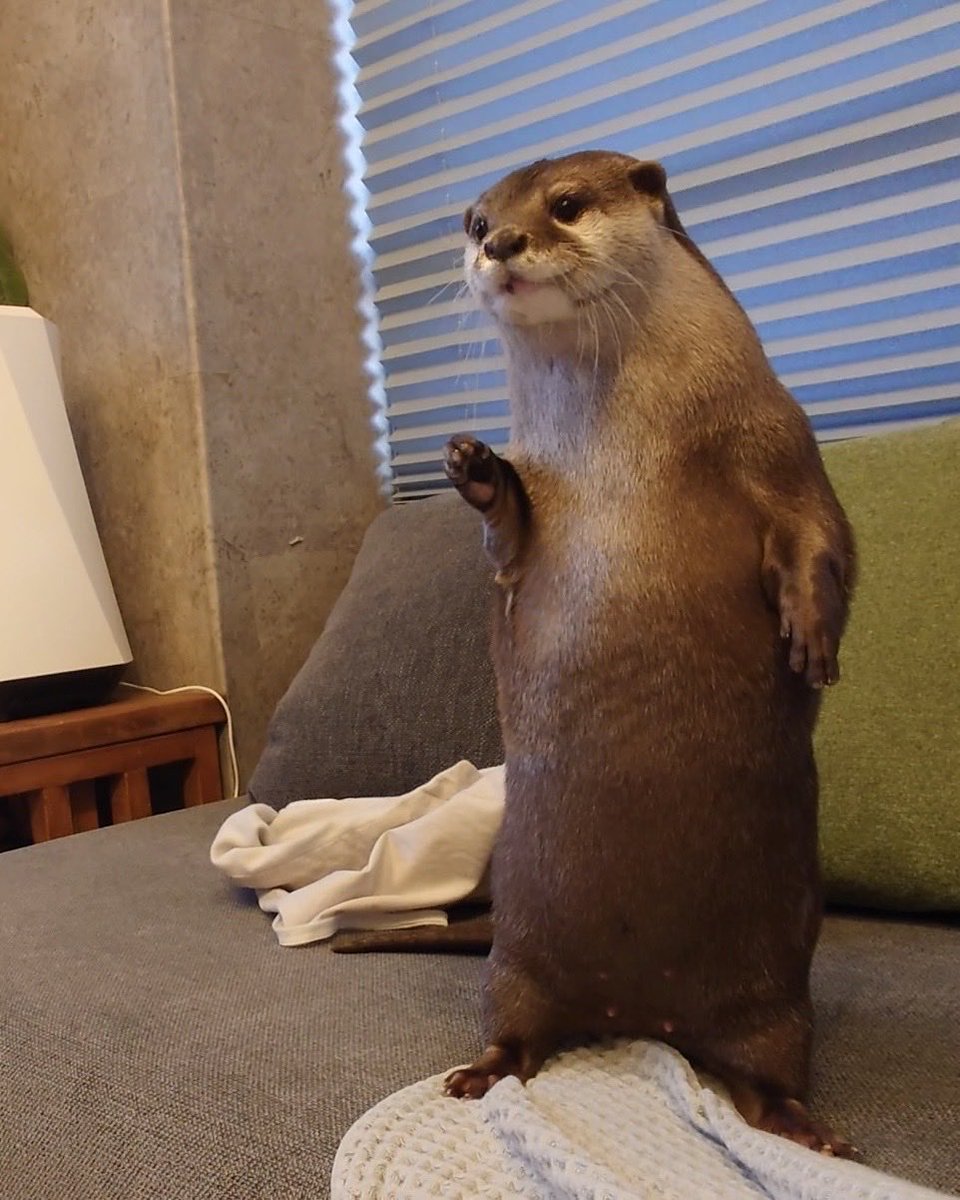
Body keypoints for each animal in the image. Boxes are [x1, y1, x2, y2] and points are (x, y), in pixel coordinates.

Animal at [440, 150, 856, 1156]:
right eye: (477, 221)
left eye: (564, 204)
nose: (503, 245)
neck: (620, 455)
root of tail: (639, 1014)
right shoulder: (533, 523)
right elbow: (507, 548)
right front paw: (480, 470)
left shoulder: (781, 444)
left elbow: (821, 538)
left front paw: (811, 637)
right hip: (515, 958)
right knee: (517, 1027)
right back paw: (480, 1072)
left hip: (777, 994)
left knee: (770, 1068)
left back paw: (806, 1128)